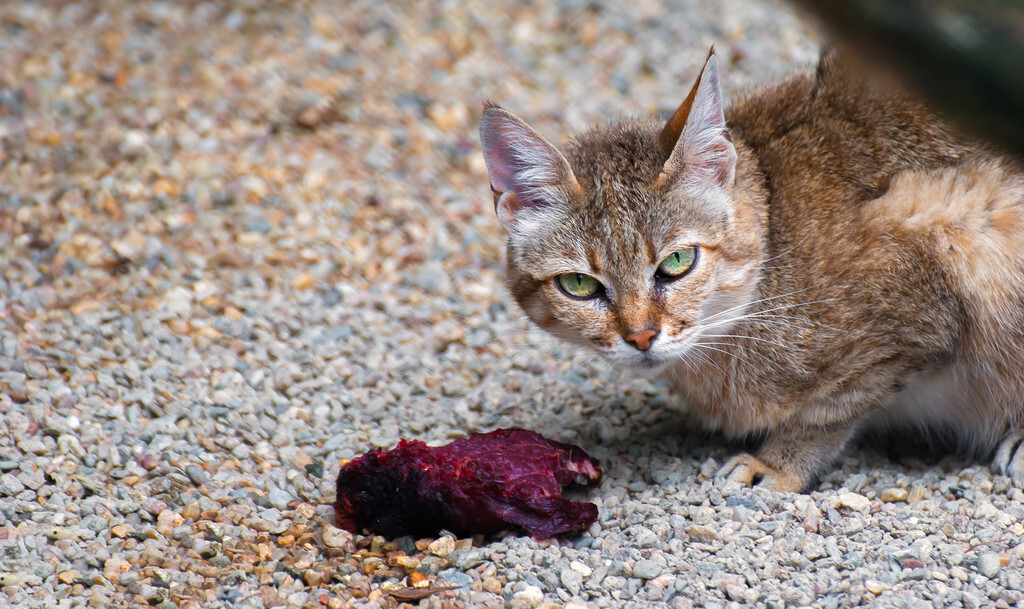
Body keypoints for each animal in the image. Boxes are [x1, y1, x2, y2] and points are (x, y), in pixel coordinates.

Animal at [477, 48, 1024, 495]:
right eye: (579, 285)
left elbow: (827, 410)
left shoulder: (935, 282)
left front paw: (778, 463)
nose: (641, 336)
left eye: (677, 262)